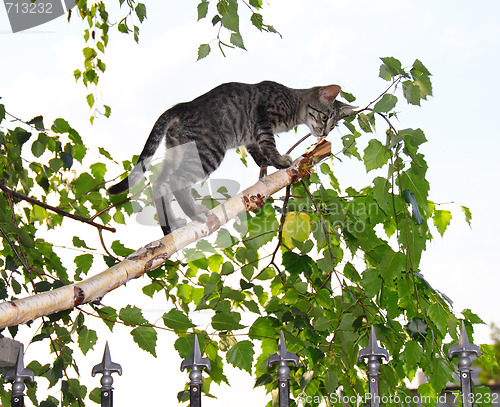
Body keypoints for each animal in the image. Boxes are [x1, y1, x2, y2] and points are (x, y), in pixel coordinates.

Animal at [107, 80, 354, 236]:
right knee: (176, 182)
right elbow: (269, 145)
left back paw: (171, 223)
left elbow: (259, 154)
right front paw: (280, 161)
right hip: (209, 152)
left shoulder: (251, 138)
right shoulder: (264, 119)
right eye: (325, 117)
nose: (324, 133)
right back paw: (195, 213)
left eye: (333, 125)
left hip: (176, 153)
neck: (294, 102)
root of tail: (181, 106)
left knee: (159, 184)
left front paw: (265, 167)